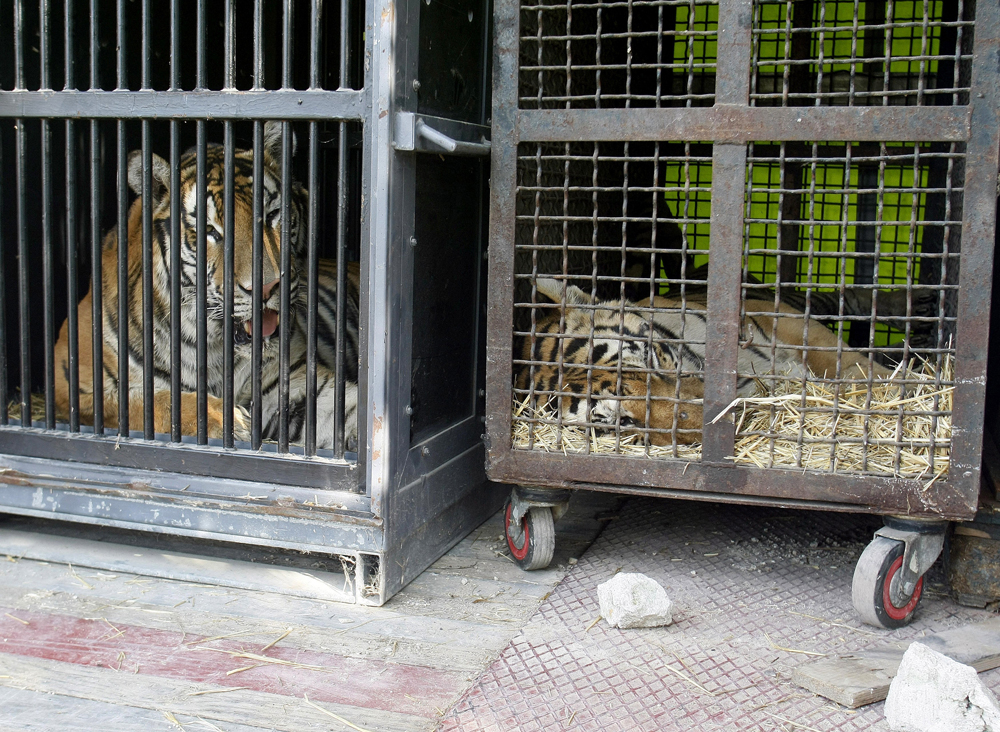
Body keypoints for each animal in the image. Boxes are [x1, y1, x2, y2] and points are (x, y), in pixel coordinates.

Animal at [52, 121, 362, 452]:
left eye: (272, 215)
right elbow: (149, 403)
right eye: (211, 231)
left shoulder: (297, 383)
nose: (267, 287)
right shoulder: (76, 390)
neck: (215, 347)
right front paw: (230, 423)